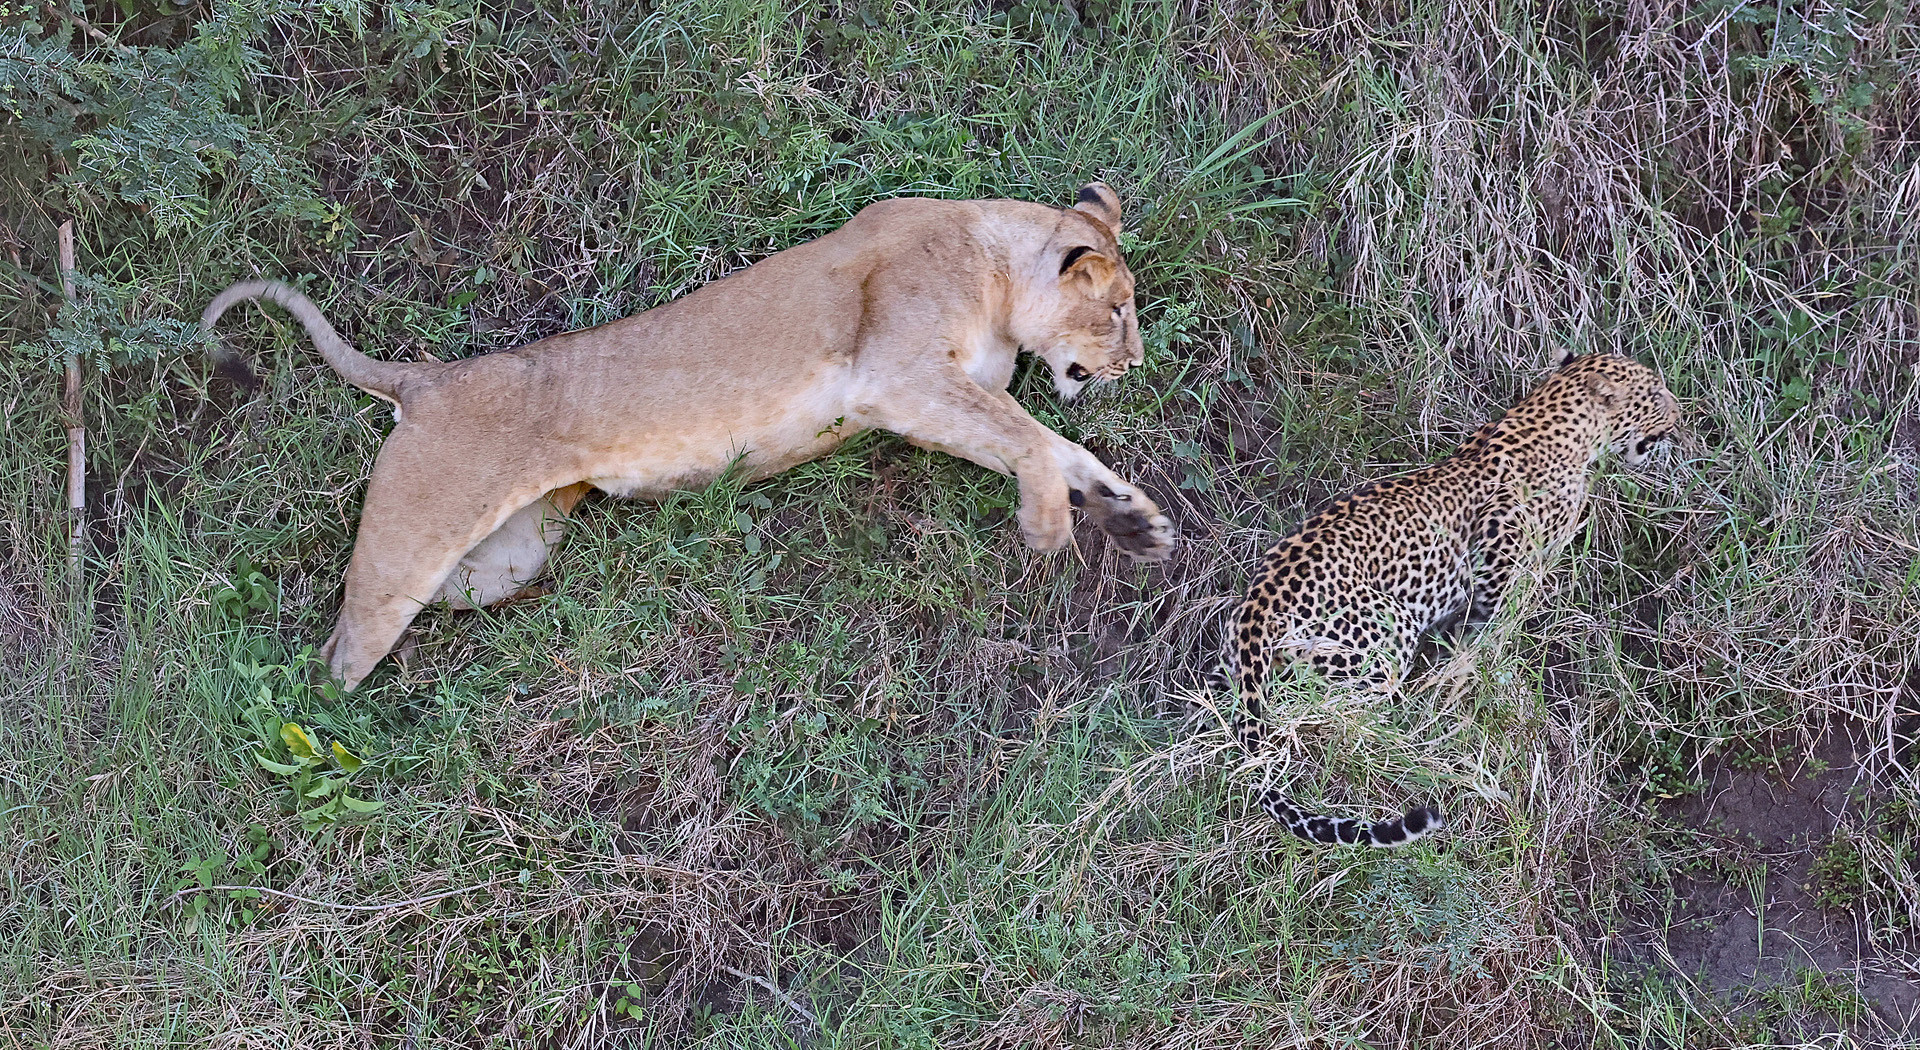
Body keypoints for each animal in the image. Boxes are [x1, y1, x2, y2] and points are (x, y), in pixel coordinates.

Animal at [1221, 353, 1674, 844]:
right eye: (1656, 394)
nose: (1683, 413)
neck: (1566, 428)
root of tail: (1258, 604)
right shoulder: (1500, 576)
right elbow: (1488, 646)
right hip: (1386, 632)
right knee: (1325, 706)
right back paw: (1399, 736)